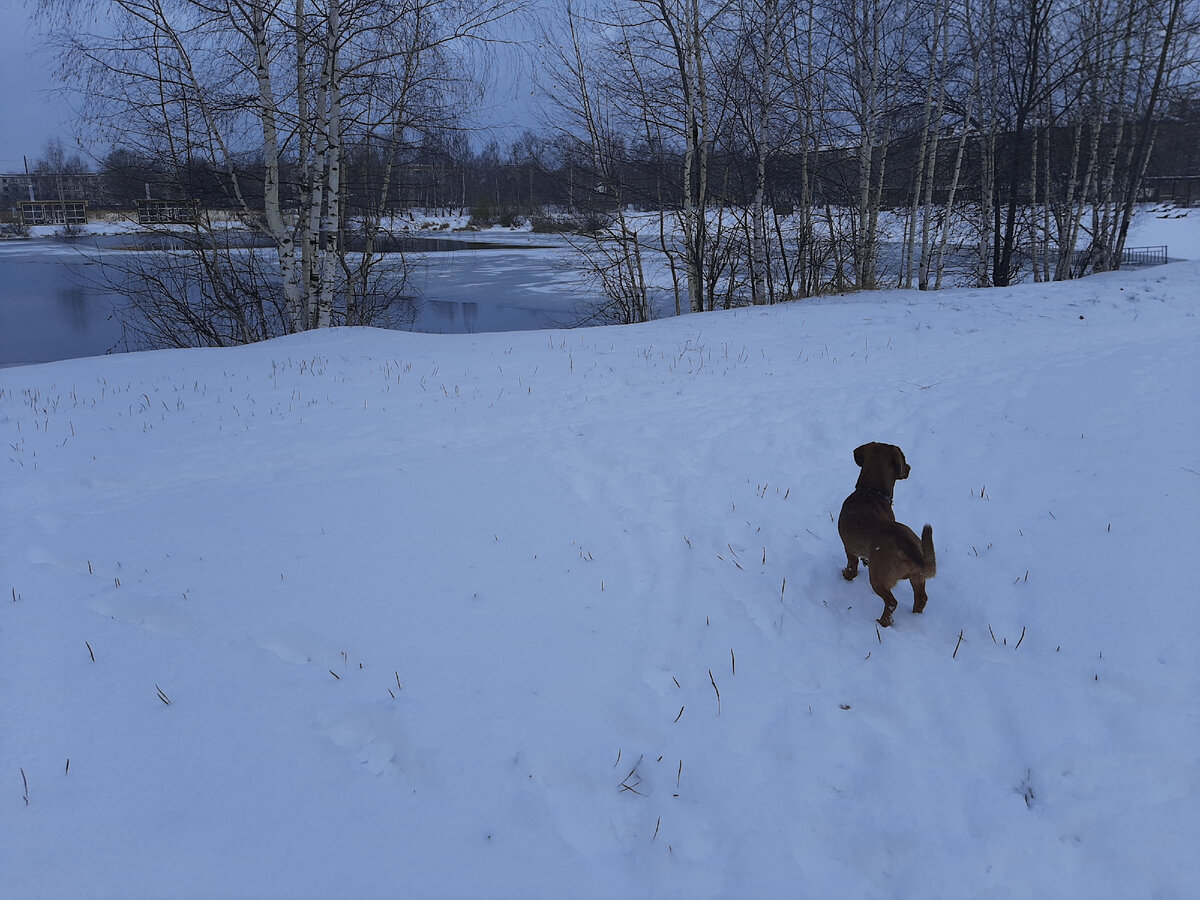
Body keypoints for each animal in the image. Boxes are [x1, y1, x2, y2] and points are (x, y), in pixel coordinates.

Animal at [835, 441, 936, 628]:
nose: (909, 467)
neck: (871, 491)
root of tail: (906, 542)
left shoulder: (849, 548)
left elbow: (852, 565)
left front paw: (847, 574)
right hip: (917, 576)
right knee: (921, 598)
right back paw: (915, 615)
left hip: (877, 578)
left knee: (891, 602)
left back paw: (883, 622)